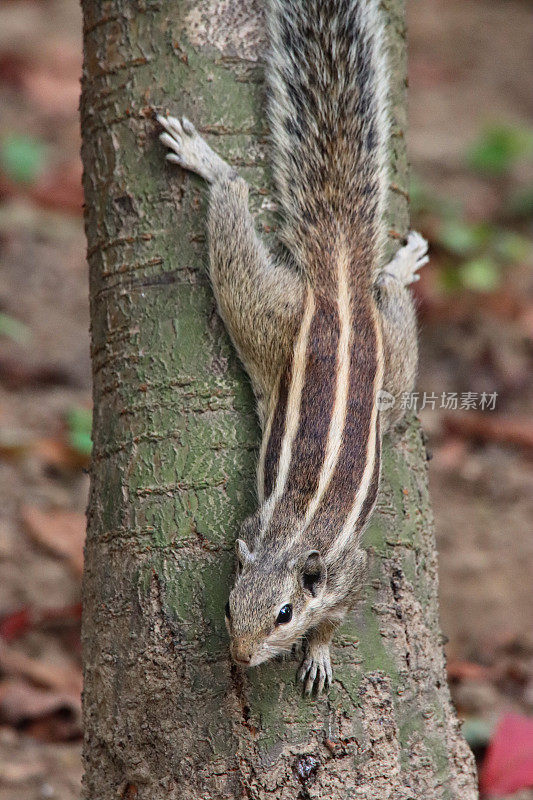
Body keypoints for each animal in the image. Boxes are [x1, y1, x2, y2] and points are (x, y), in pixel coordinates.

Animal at [157, 0, 428, 692]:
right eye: (229, 605)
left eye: (284, 614)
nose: (238, 657)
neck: (288, 538)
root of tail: (337, 278)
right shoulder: (252, 530)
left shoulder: (349, 571)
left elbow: (338, 612)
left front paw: (319, 653)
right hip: (278, 319)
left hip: (275, 317)